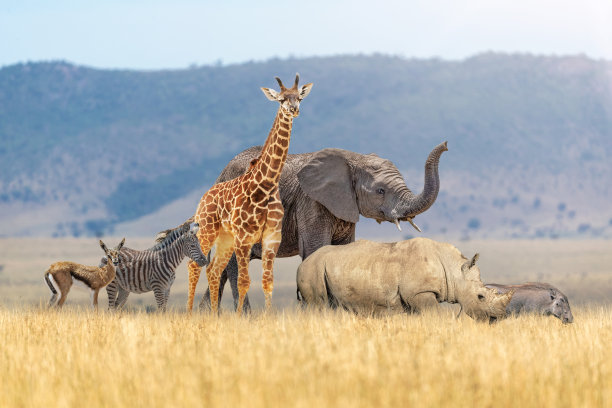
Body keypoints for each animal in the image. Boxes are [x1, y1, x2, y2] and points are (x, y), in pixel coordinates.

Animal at [180, 142, 444, 310]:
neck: (352, 159)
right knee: (235, 263)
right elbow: (316, 249)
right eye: (380, 191)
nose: (446, 145)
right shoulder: (310, 202)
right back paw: (245, 318)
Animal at [188, 74, 314, 316]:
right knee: (196, 265)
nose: (294, 109)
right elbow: (244, 281)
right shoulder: (244, 238)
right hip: (208, 231)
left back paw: (214, 316)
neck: (265, 186)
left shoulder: (271, 238)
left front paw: (268, 317)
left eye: (299, 97)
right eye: (281, 99)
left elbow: (268, 282)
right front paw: (240, 317)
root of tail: (204, 197)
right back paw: (191, 314)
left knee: (213, 270)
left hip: (225, 239)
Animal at [296, 236, 512, 322]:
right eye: (480, 297)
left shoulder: (412, 298)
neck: (454, 270)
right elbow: (434, 315)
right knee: (319, 305)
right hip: (312, 270)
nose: (498, 318)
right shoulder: (420, 292)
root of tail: (302, 263)